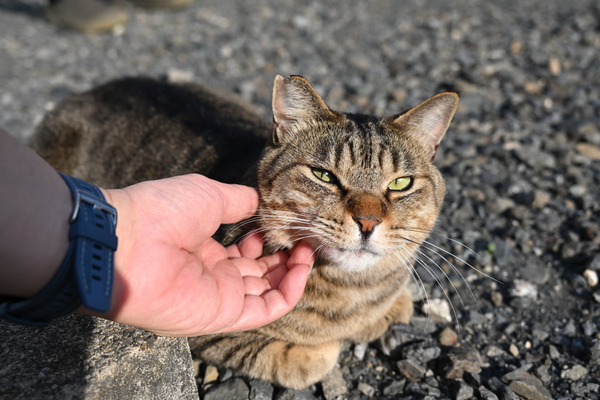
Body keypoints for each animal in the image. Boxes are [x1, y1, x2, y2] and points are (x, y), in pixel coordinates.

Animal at [31, 75, 459, 389]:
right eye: (323, 176)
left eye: (401, 184)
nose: (368, 222)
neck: (350, 289)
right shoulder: (211, 334)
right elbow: (307, 358)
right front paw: (335, 343)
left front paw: (391, 308)